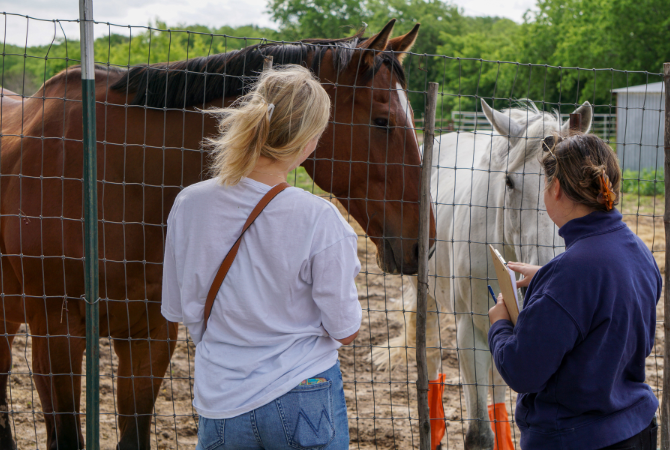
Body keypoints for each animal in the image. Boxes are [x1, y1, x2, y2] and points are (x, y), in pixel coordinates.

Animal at [376, 99, 596, 450]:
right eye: (509, 182)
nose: (542, 271)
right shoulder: (471, 331)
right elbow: (478, 432)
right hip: (428, 297)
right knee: (432, 358)